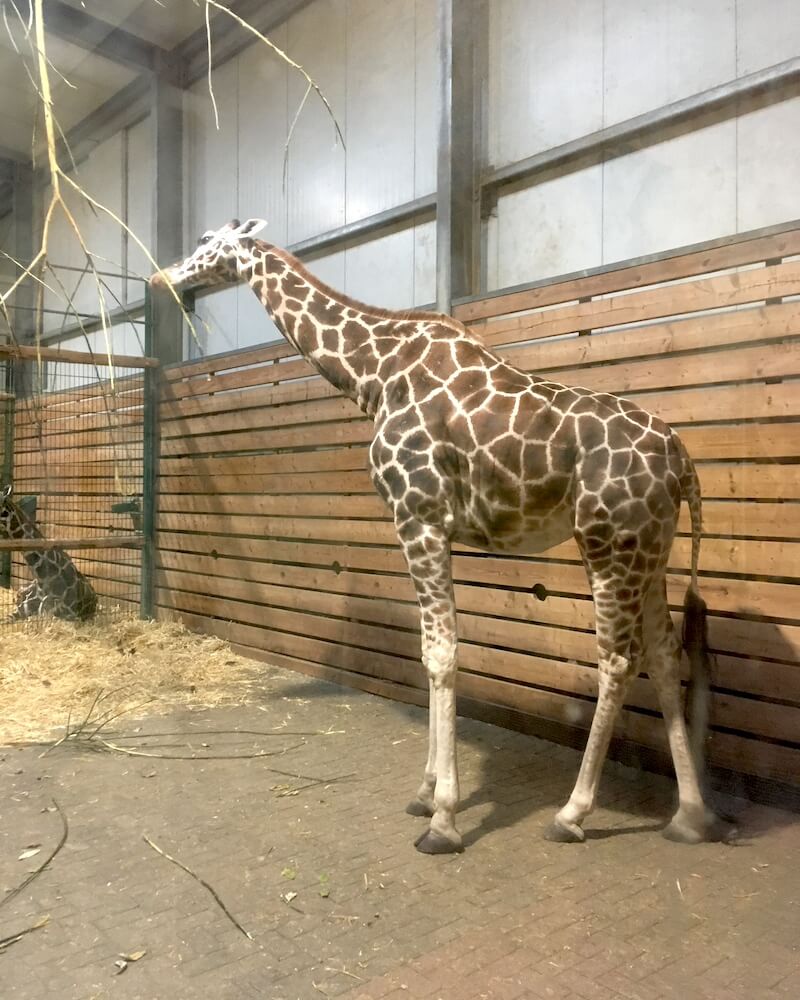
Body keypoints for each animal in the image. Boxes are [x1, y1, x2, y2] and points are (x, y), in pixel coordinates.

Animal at [152, 219, 724, 852]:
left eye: (205, 240)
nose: (162, 276)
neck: (375, 373)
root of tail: (682, 460)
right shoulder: (429, 526)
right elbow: (431, 650)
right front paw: (425, 794)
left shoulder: (417, 515)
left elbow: (442, 653)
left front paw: (444, 819)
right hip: (652, 549)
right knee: (666, 653)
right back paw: (690, 816)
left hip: (607, 544)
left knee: (618, 660)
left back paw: (572, 813)